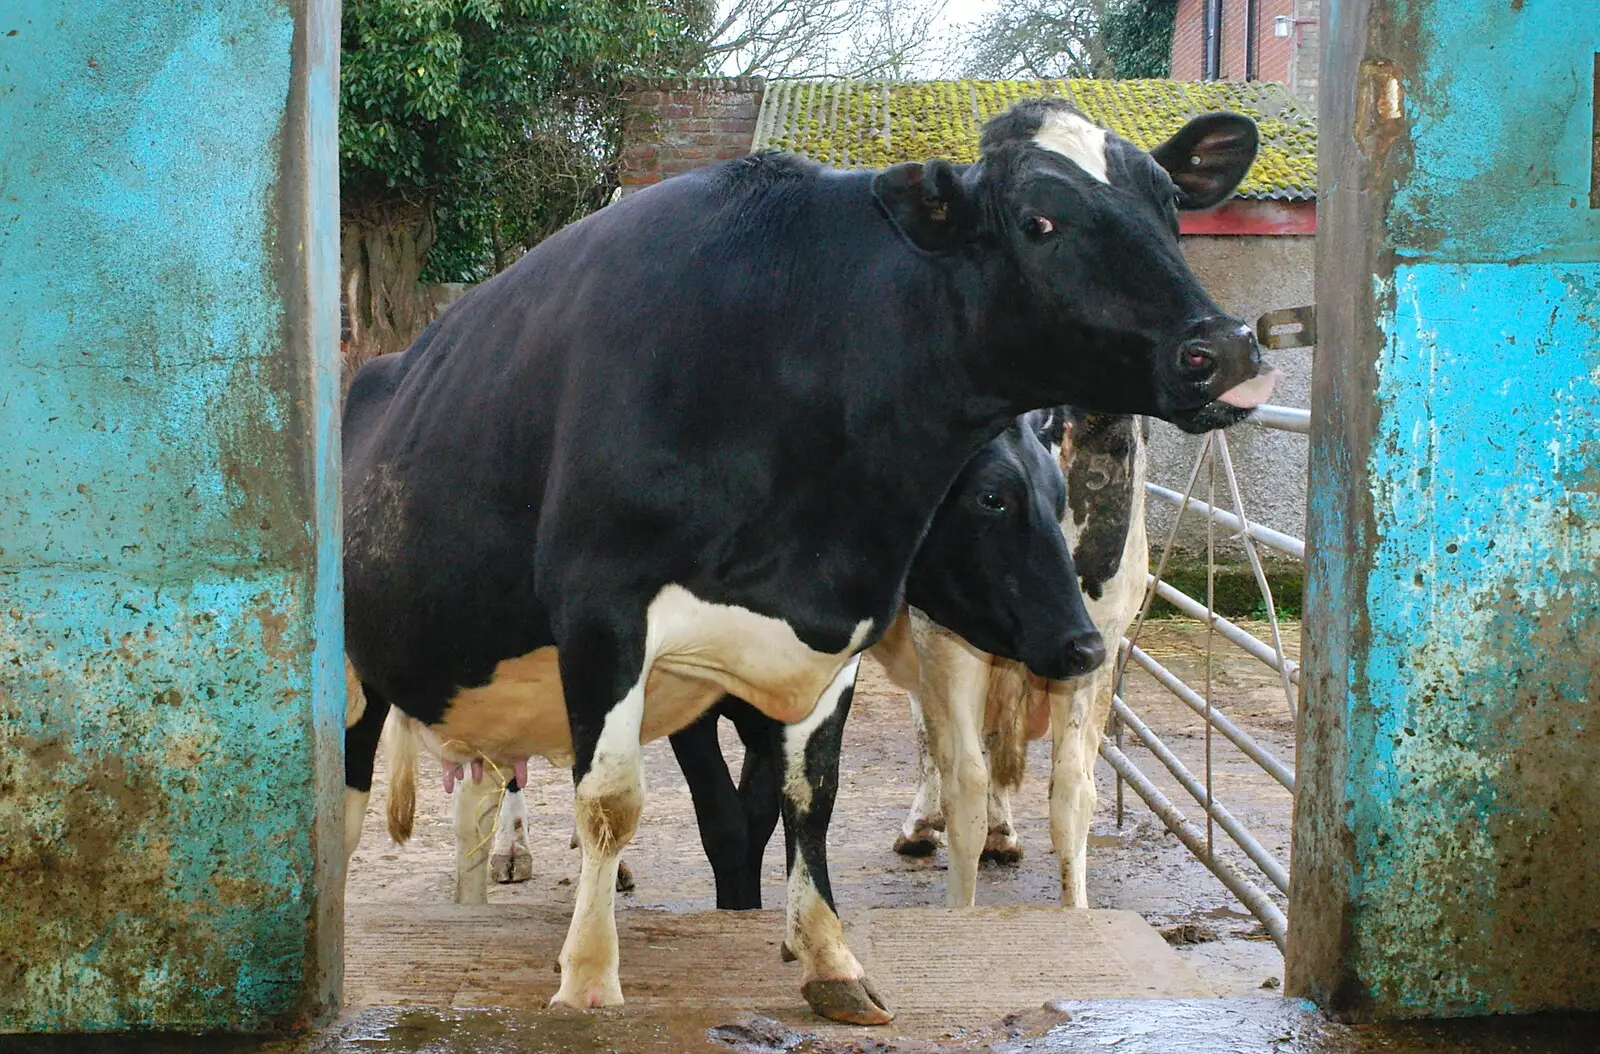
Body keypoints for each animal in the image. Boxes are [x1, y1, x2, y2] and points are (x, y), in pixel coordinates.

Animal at [340, 96, 1273, 1023]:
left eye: (1168, 204)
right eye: (1038, 219)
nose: (1225, 348)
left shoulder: (834, 636)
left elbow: (807, 801)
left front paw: (829, 958)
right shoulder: (606, 616)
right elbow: (620, 805)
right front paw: (590, 979)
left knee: (480, 791)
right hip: (362, 675)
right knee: (355, 804)